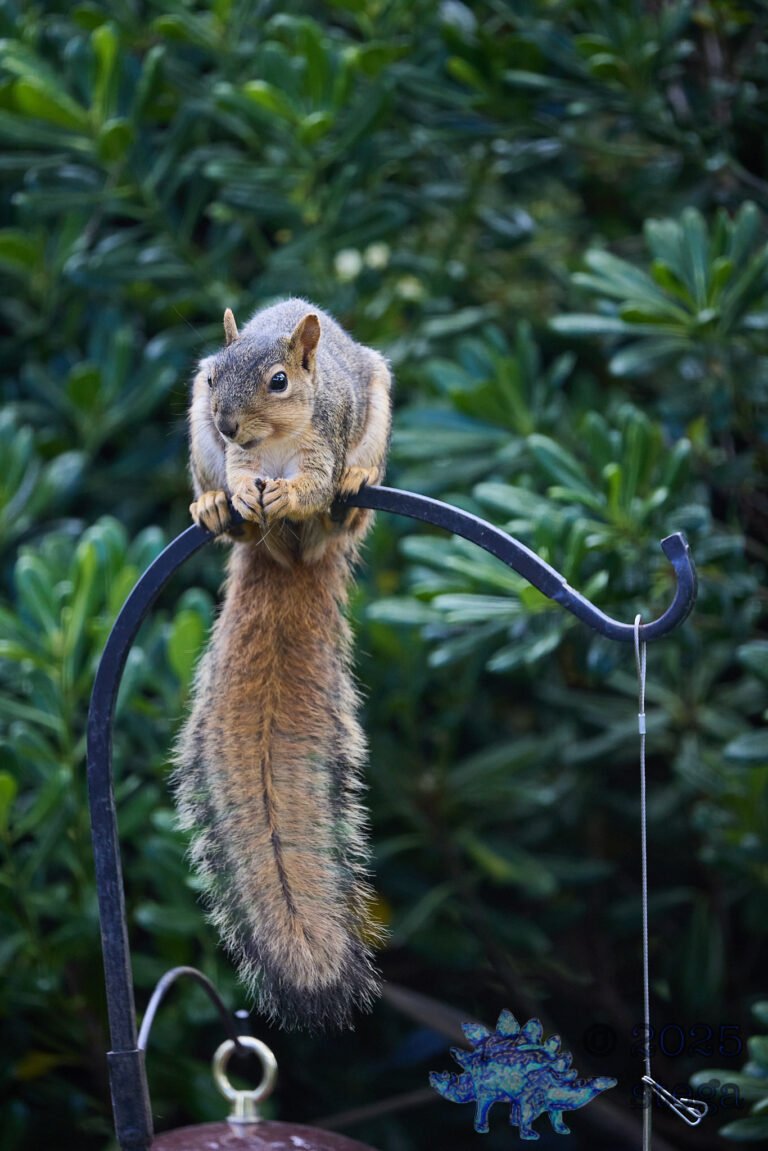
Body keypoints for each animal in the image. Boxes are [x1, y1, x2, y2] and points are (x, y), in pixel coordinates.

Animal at [172, 298, 392, 1031]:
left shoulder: (325, 437)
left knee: (341, 507)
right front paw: (242, 496)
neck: (274, 441)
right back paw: (220, 509)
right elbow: (244, 476)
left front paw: (293, 494)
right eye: (215, 377)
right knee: (230, 510)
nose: (226, 423)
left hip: (372, 425)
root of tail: (292, 557)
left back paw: (352, 491)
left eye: (278, 381)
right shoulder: (238, 455)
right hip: (201, 452)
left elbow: (314, 481)